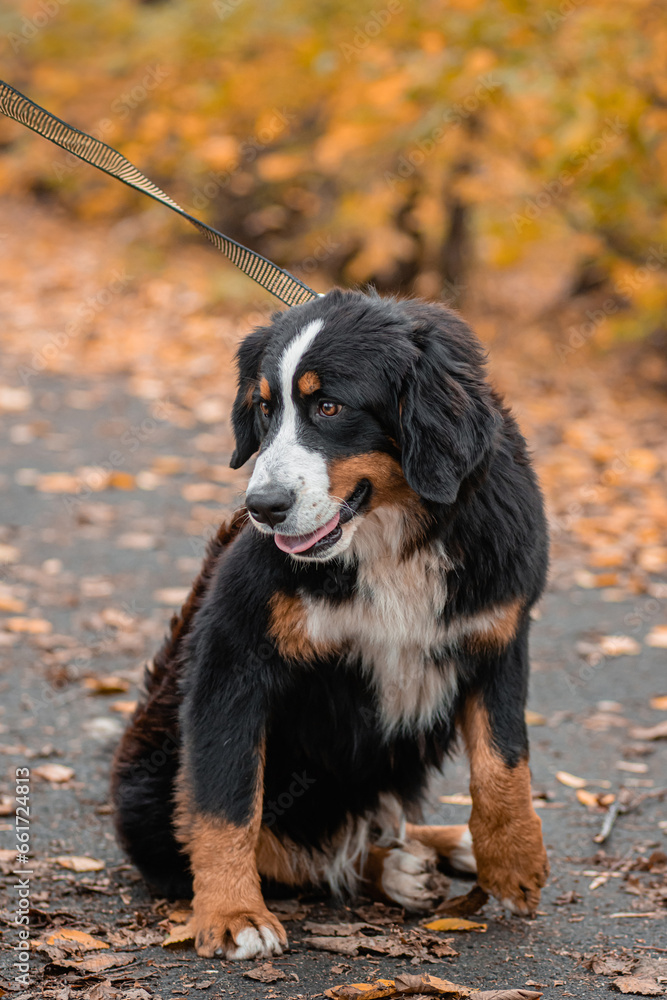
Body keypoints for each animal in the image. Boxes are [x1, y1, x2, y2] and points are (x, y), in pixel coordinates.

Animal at [112, 288, 552, 960]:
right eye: (264, 409)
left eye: (329, 406)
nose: (262, 509)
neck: (392, 537)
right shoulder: (231, 656)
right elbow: (226, 799)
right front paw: (233, 913)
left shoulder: (497, 634)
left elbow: (503, 764)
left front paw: (513, 860)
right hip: (149, 789)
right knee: (303, 854)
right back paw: (395, 868)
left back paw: (442, 845)